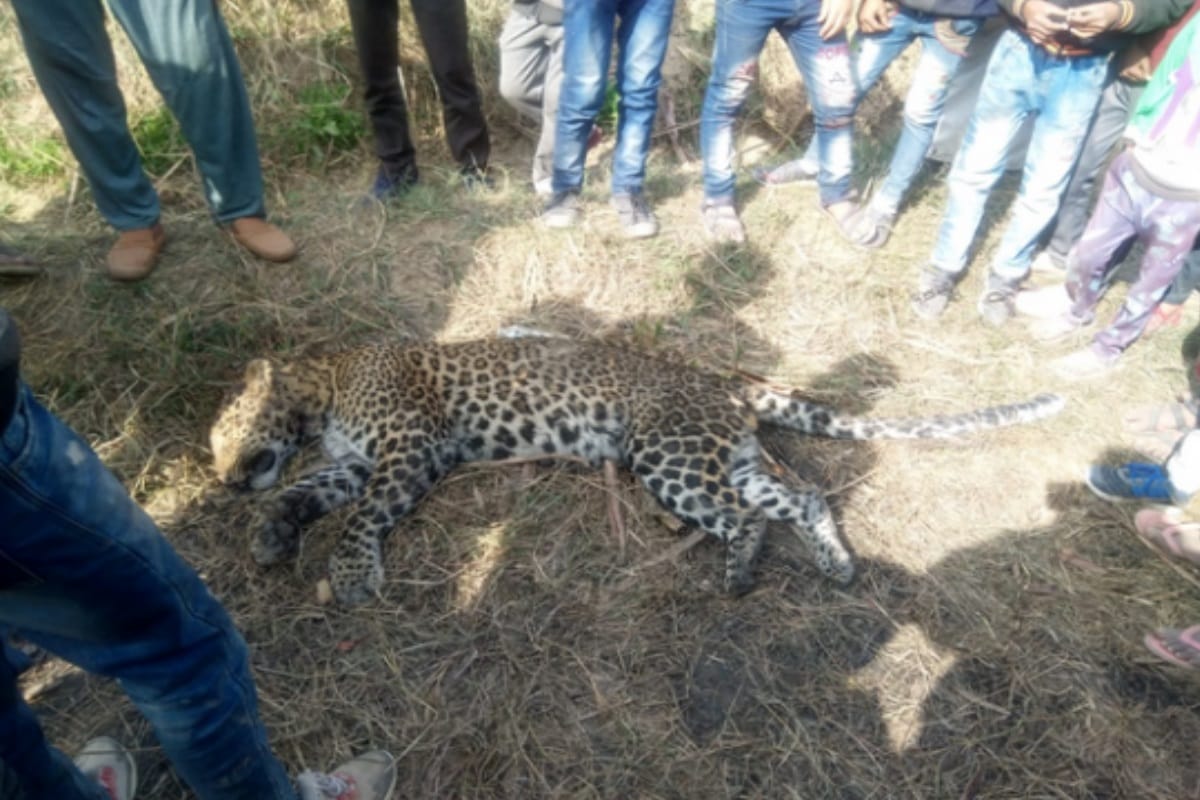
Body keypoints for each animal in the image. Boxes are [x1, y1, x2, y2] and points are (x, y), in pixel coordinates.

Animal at [209, 335, 1064, 606]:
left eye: (227, 433)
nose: (220, 480)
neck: (322, 391)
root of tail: (724, 384)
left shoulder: (407, 451)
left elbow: (360, 516)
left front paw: (352, 573)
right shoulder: (355, 464)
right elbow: (302, 491)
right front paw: (271, 534)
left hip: (668, 455)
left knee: (748, 518)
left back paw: (739, 576)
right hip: (726, 458)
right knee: (802, 496)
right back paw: (836, 565)